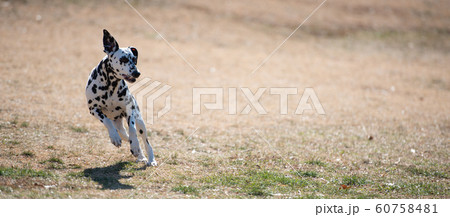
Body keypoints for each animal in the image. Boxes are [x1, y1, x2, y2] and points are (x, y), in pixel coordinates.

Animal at [85, 29, 157, 166]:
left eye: (134, 59)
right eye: (123, 59)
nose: (137, 73)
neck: (111, 86)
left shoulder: (130, 111)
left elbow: (133, 130)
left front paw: (135, 146)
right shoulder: (93, 109)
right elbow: (107, 121)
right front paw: (114, 137)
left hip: (141, 122)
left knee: (145, 141)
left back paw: (149, 158)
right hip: (117, 123)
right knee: (122, 132)